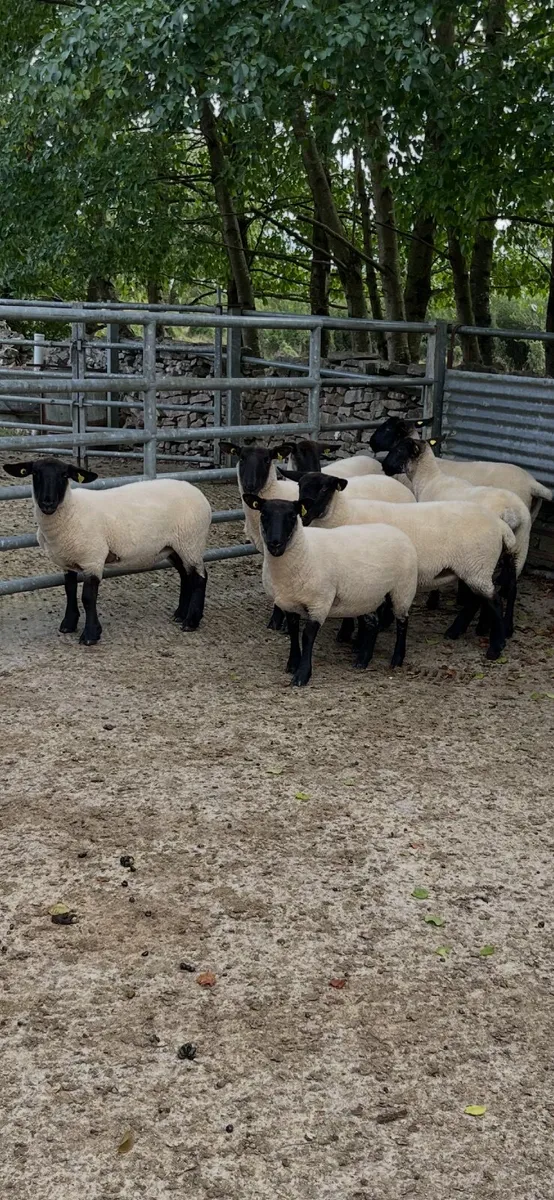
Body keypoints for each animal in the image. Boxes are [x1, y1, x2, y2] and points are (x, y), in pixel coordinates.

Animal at [4, 458, 211, 644]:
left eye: (64, 475)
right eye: (35, 474)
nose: (47, 503)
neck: (72, 511)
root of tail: (198, 493)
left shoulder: (93, 559)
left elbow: (88, 597)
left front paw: (91, 634)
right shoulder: (67, 561)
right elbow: (69, 590)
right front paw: (68, 624)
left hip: (191, 542)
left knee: (199, 577)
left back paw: (191, 621)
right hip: (174, 547)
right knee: (186, 576)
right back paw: (180, 613)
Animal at [241, 492, 418, 686]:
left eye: (292, 516)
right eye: (263, 514)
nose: (275, 543)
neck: (305, 551)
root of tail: (397, 531)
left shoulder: (320, 602)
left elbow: (307, 636)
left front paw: (302, 675)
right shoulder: (289, 603)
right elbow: (294, 633)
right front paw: (292, 664)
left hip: (402, 589)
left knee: (403, 622)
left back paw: (397, 659)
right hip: (367, 596)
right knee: (373, 623)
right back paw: (362, 661)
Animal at [297, 471, 517, 660]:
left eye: (324, 489)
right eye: (300, 486)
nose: (303, 515)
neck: (345, 515)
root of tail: (500, 525)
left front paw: (356, 641)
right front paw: (349, 635)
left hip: (477, 566)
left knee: (494, 600)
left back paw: (495, 647)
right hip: (474, 567)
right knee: (475, 599)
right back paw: (455, 631)